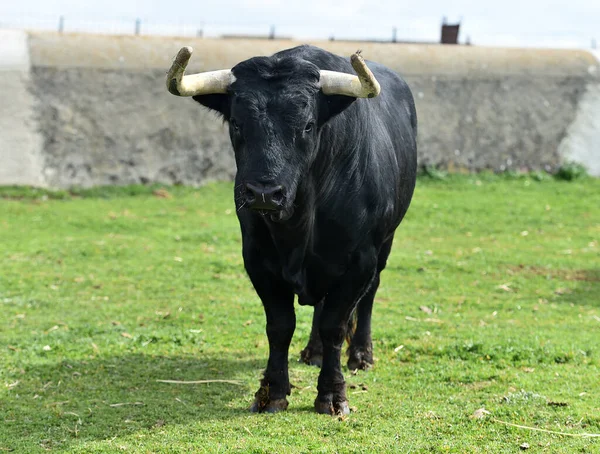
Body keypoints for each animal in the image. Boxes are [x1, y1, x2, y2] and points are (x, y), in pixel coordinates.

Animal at [185, 46, 414, 414]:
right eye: (237, 123)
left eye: (307, 125)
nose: (264, 193)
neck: (300, 223)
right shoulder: (258, 260)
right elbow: (280, 326)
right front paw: (272, 392)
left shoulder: (360, 261)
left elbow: (335, 325)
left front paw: (332, 395)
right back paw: (314, 351)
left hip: (385, 244)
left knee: (369, 295)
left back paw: (361, 354)